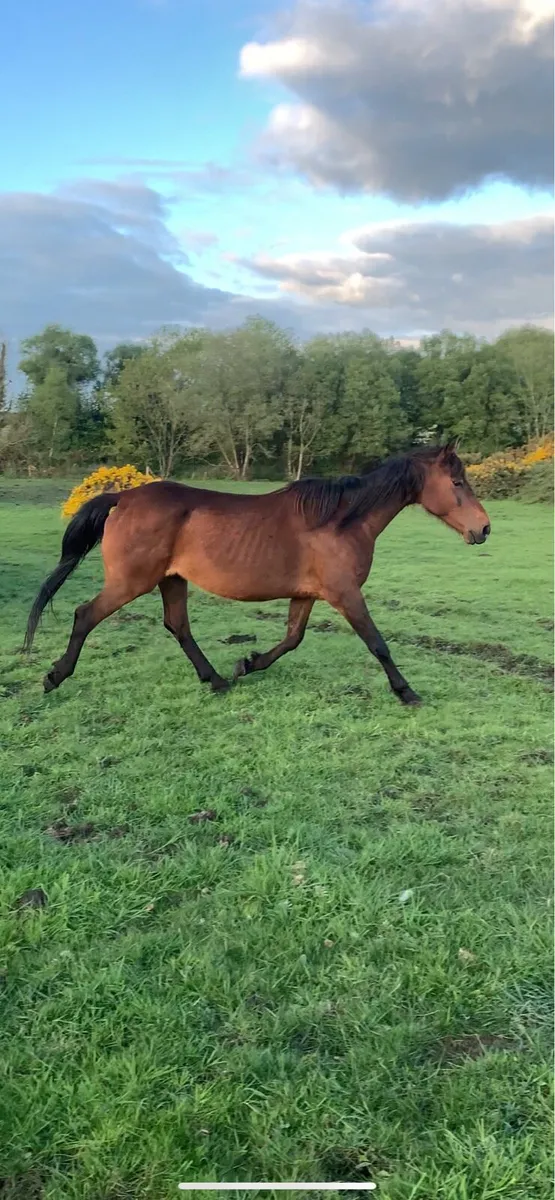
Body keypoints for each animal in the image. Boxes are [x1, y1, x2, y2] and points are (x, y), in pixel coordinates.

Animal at [23, 441, 491, 706]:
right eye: (457, 482)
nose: (484, 528)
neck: (340, 520)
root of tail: (122, 498)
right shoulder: (345, 593)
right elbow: (378, 644)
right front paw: (407, 692)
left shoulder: (308, 594)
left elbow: (292, 639)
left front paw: (247, 664)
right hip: (130, 582)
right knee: (85, 615)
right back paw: (54, 677)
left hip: (171, 580)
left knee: (178, 626)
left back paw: (216, 681)